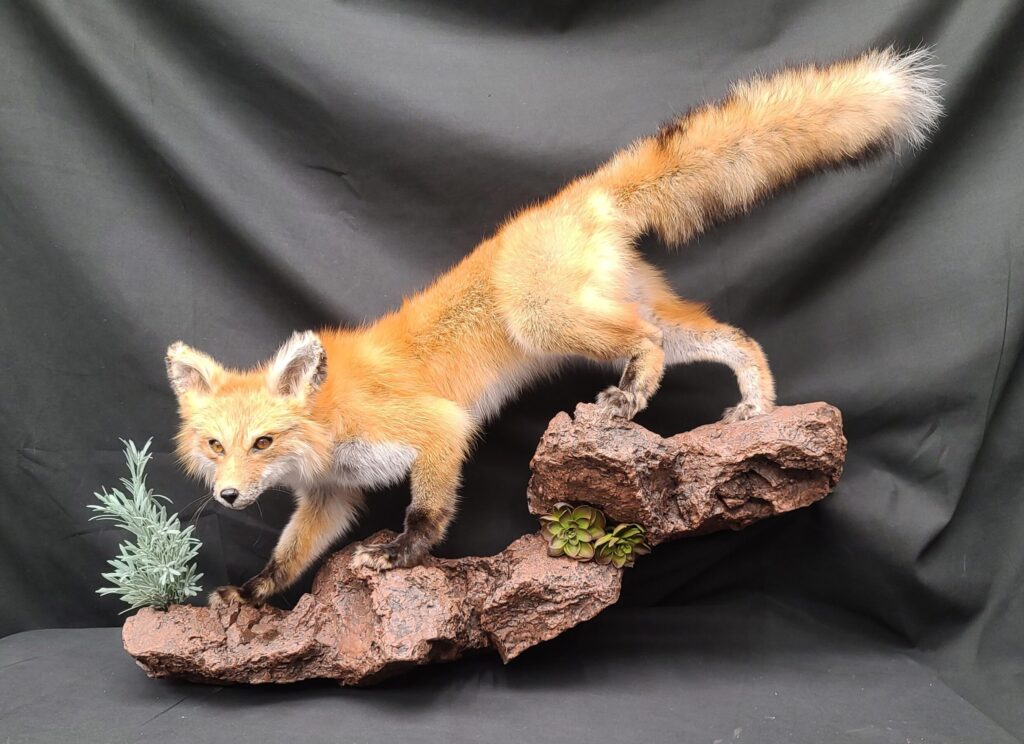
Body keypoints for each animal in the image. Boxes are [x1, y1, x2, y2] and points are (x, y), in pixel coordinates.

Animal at [166, 48, 942, 607]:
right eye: (216, 445)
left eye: (263, 442)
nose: (227, 496)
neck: (329, 424)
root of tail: (577, 196)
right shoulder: (332, 496)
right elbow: (290, 555)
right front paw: (252, 593)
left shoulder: (435, 430)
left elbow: (428, 510)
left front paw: (405, 554)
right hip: (640, 312)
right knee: (735, 338)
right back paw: (756, 406)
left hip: (546, 323)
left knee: (647, 346)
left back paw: (631, 395)